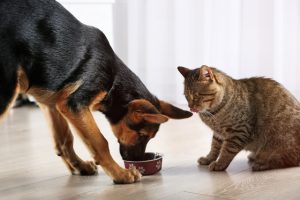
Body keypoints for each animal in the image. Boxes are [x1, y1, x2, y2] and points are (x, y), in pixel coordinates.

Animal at [0, 0, 192, 184]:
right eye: (142, 135)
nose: (138, 160)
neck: (113, 80)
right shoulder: (74, 105)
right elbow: (100, 142)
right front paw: (121, 174)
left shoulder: (52, 103)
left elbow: (65, 141)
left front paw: (80, 166)